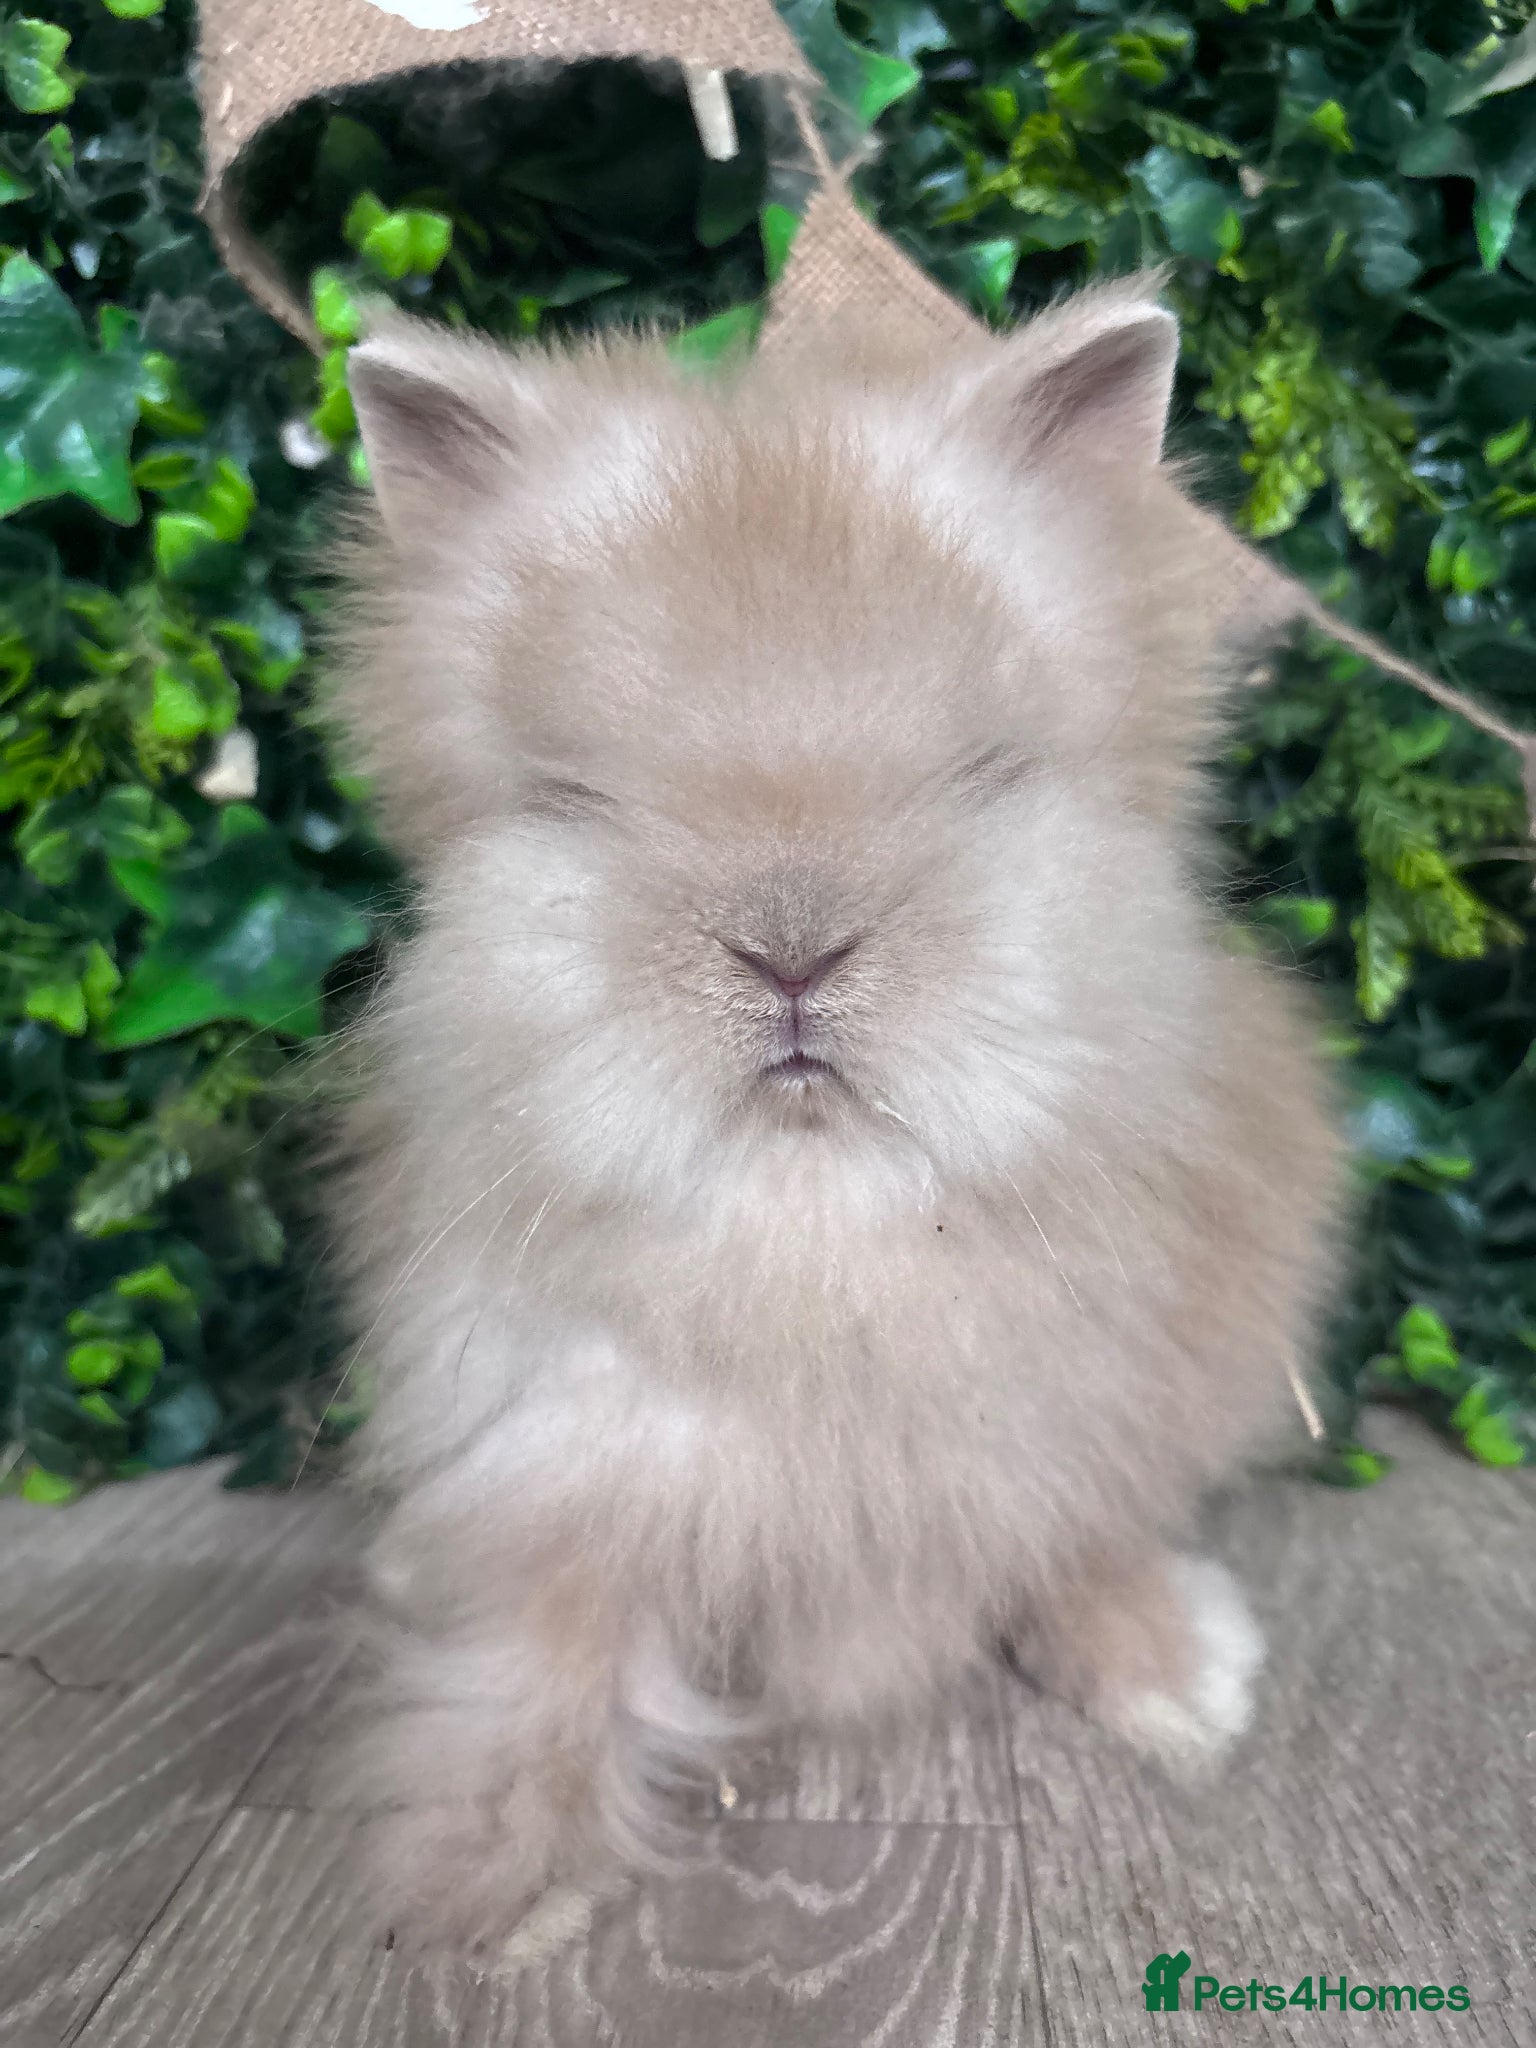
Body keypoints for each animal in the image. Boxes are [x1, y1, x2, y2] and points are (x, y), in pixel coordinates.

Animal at [326, 276, 1344, 1951]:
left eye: (987, 773)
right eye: (575, 799)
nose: (791, 952)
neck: (817, 1232)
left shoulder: (1076, 1422)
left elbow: (1076, 1530)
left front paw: (1177, 1685)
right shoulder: (566, 1458)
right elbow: (551, 1643)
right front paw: (513, 1882)